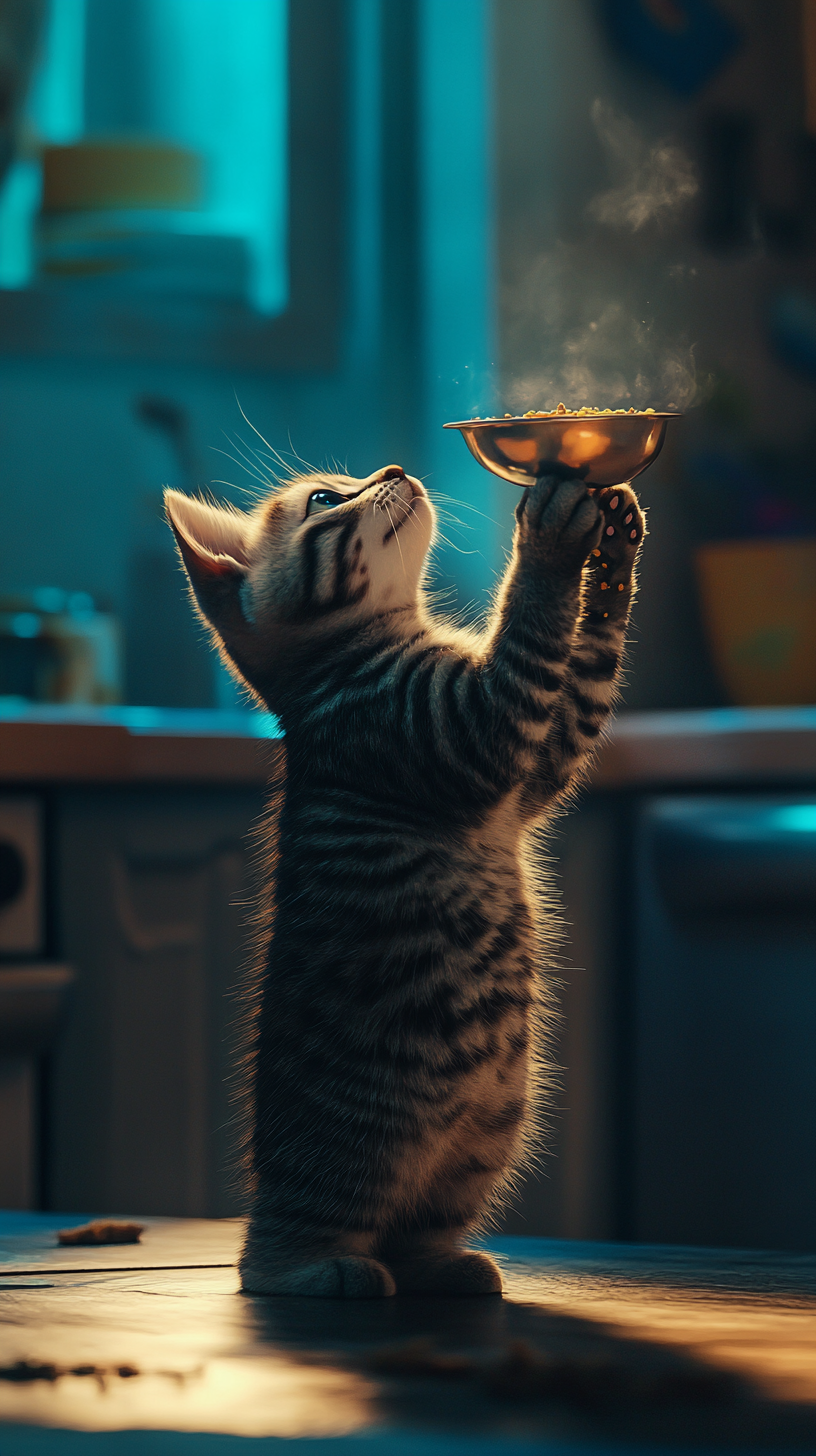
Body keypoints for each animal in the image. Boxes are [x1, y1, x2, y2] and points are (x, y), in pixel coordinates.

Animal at [166, 460, 646, 1292]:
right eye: (325, 499)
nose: (392, 469)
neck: (344, 665)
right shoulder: (466, 727)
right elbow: (531, 622)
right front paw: (549, 538)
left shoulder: (537, 761)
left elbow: (583, 672)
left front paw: (612, 548)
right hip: (362, 1152)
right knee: (275, 1252)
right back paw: (324, 1270)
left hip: (485, 1138)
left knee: (416, 1229)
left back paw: (444, 1264)